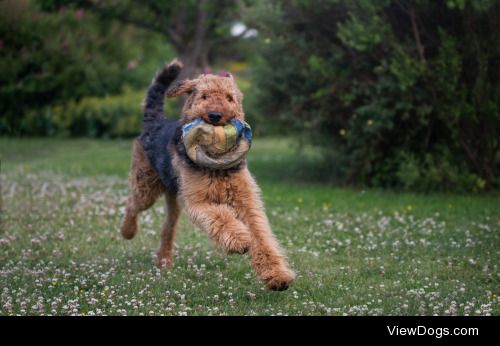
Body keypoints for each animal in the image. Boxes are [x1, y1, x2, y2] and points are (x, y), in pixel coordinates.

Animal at [119, 58, 294, 290]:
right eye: (204, 96)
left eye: (229, 98)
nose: (215, 115)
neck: (217, 166)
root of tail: (155, 121)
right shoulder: (199, 201)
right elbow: (221, 218)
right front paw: (240, 241)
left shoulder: (247, 202)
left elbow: (261, 235)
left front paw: (278, 276)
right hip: (146, 186)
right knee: (132, 204)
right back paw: (127, 231)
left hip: (174, 197)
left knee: (167, 228)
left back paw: (163, 260)